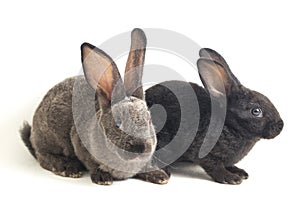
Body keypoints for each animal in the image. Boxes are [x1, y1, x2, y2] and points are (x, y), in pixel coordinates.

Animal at [19, 27, 170, 184]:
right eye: (118, 124)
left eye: (149, 120)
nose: (140, 147)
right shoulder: (79, 142)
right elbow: (91, 163)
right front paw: (103, 178)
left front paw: (160, 176)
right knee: (43, 156)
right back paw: (68, 168)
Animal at [145, 48, 284, 184]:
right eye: (256, 111)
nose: (280, 125)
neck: (229, 126)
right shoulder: (206, 153)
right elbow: (215, 167)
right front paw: (231, 178)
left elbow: (228, 165)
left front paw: (240, 172)